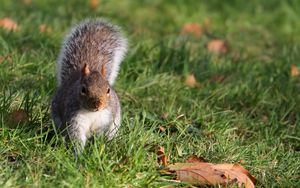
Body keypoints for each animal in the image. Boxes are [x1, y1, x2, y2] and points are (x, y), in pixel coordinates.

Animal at [50, 18, 127, 153]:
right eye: (83, 90)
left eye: (108, 90)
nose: (97, 104)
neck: (92, 113)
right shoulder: (74, 119)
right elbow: (76, 137)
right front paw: (79, 153)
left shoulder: (106, 119)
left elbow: (101, 135)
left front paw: (98, 147)